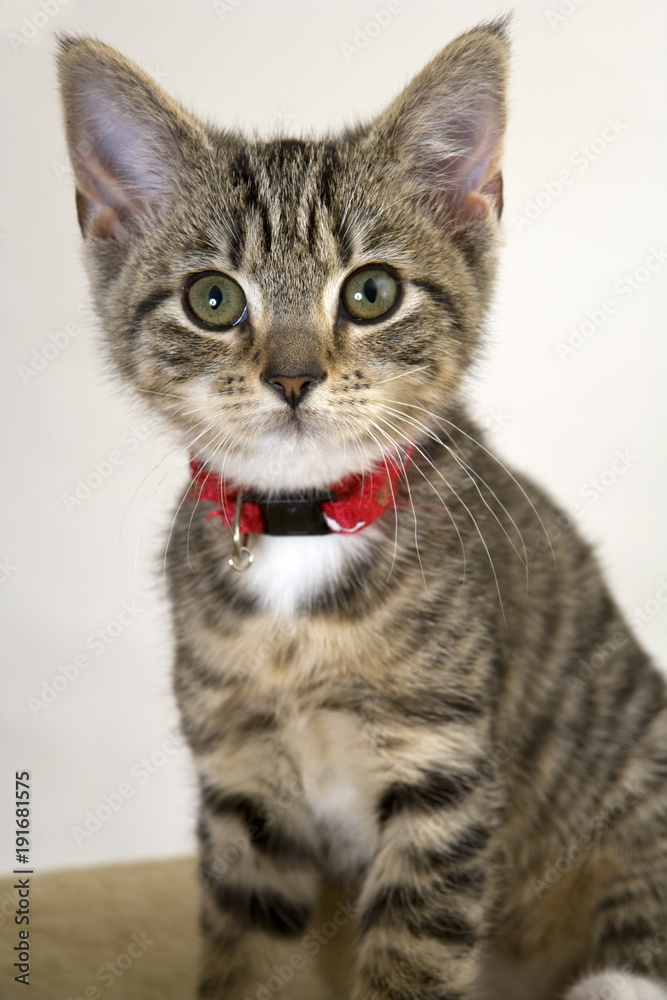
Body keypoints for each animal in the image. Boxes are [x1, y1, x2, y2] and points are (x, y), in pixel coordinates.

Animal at [58, 19, 667, 1000]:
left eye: (370, 292)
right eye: (212, 299)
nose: (293, 377)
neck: (303, 529)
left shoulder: (444, 774)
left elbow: (412, 958)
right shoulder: (241, 786)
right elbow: (246, 956)